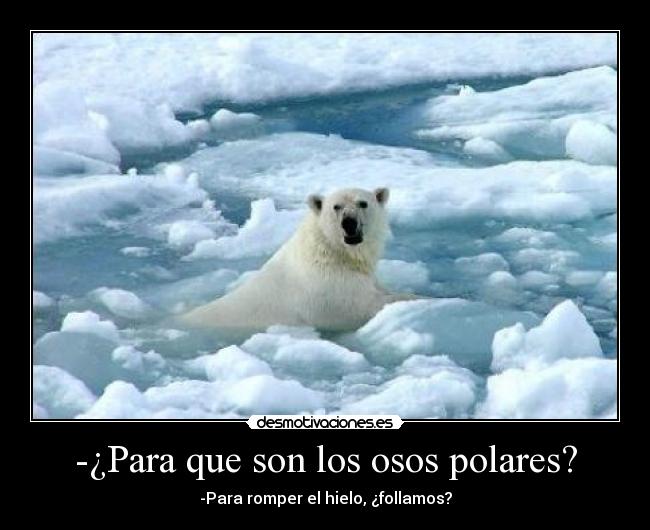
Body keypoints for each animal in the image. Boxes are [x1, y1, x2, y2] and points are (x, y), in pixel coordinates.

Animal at [179, 187, 418, 332]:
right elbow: (361, 307)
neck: (333, 253)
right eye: (336, 206)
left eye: (363, 203)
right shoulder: (327, 289)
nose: (349, 223)